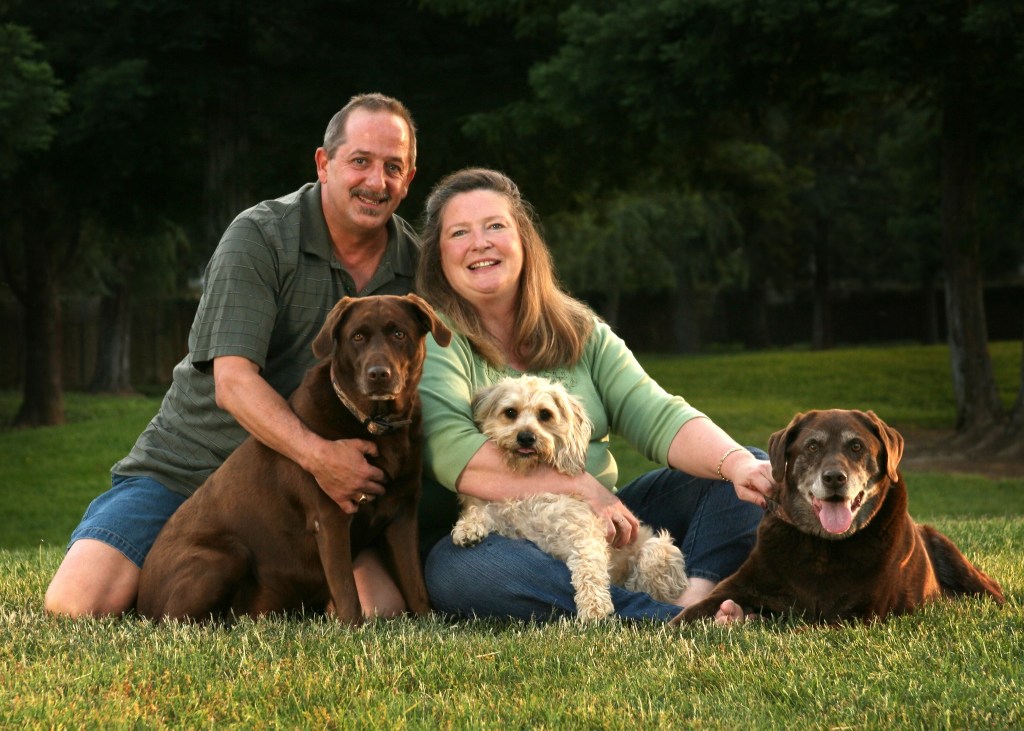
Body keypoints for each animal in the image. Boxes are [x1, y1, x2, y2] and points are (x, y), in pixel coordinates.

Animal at [136, 294, 452, 623]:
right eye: (358, 337)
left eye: (399, 334)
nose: (378, 374)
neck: (376, 425)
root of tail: (141, 599)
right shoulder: (330, 517)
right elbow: (347, 591)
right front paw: (353, 628)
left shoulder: (402, 513)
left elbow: (416, 585)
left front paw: (428, 625)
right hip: (225, 554)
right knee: (176, 620)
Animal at [451, 375, 688, 621]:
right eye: (510, 412)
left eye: (545, 414)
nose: (526, 437)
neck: (530, 480)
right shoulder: (509, 519)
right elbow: (482, 511)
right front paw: (468, 528)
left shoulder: (581, 531)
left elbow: (588, 568)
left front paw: (594, 606)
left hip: (656, 551)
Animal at [674, 409, 1005, 624]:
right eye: (812, 446)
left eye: (856, 446)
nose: (834, 478)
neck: (823, 545)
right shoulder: (737, 586)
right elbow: (687, 615)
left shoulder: (856, 613)